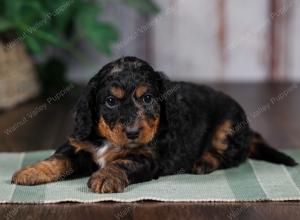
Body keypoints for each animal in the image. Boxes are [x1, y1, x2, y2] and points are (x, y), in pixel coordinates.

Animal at [11, 56, 296, 192]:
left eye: (148, 98)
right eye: (110, 101)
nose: (133, 132)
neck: (109, 141)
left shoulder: (148, 157)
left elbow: (122, 162)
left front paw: (105, 176)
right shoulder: (80, 144)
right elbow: (58, 157)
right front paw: (31, 171)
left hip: (228, 126)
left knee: (229, 156)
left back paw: (203, 162)